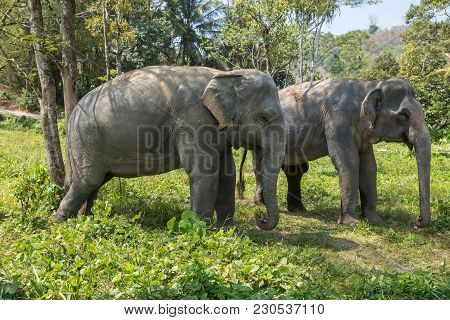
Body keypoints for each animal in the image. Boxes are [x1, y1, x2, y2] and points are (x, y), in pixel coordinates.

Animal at [56, 65, 284, 230]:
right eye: (264, 118)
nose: (259, 217)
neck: (226, 74)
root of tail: (72, 114)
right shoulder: (193, 120)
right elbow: (205, 172)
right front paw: (203, 231)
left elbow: (228, 173)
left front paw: (227, 230)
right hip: (86, 141)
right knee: (88, 181)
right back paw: (61, 223)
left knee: (96, 182)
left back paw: (89, 218)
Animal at [239, 78, 432, 226]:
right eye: (404, 114)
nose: (417, 221)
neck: (369, 85)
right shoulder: (338, 121)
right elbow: (349, 162)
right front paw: (351, 223)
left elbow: (369, 167)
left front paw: (374, 220)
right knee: (262, 166)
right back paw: (261, 204)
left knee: (295, 170)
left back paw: (297, 209)